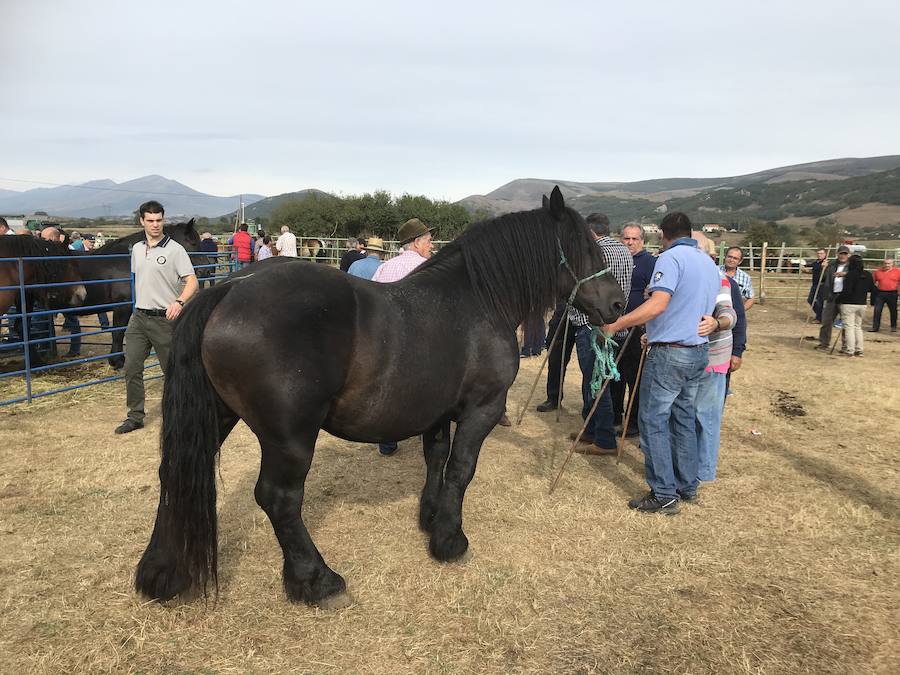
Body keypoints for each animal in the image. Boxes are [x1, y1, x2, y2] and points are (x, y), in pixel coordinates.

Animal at [73, 220, 200, 370]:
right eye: (193, 243)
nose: (208, 268)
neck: (125, 261)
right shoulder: (122, 306)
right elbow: (118, 332)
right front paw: (117, 361)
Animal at [135, 187, 624, 608]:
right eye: (586, 247)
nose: (619, 305)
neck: (479, 299)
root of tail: (228, 288)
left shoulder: (436, 411)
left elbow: (436, 459)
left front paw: (429, 518)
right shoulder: (482, 409)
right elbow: (461, 469)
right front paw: (450, 540)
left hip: (217, 417)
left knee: (173, 476)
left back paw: (161, 573)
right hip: (289, 436)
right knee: (278, 498)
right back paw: (317, 580)